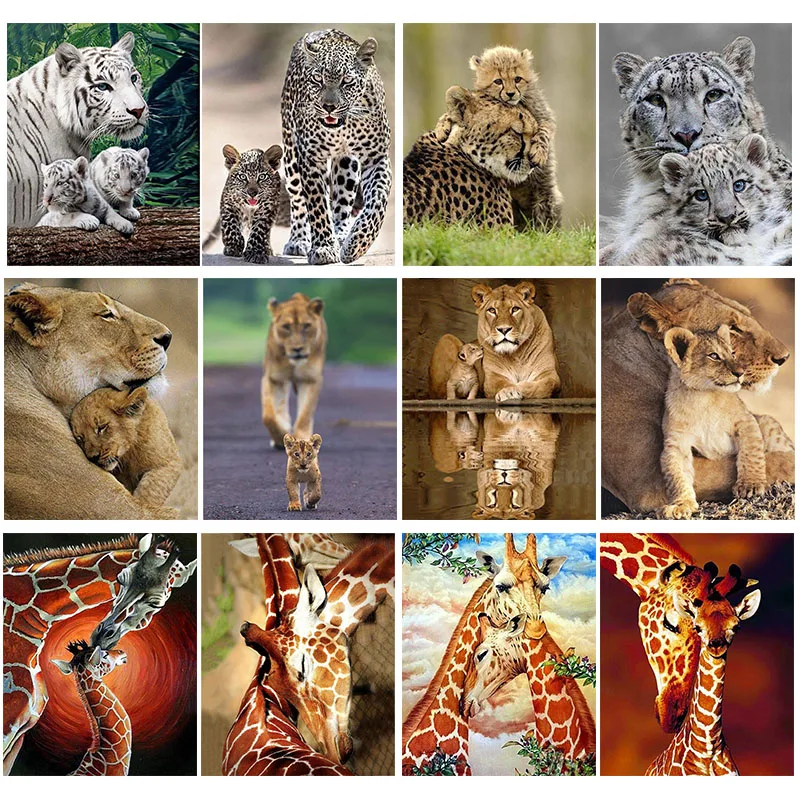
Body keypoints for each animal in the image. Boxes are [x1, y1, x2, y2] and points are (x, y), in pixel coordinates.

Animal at [70, 386, 182, 516]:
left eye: (101, 427)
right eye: (80, 438)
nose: (93, 457)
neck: (128, 454)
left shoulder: (169, 462)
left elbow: (151, 489)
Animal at [261, 293, 327, 448]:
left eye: (306, 325)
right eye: (286, 326)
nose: (297, 349)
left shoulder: (310, 379)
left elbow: (305, 414)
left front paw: (303, 438)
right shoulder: (273, 378)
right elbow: (268, 416)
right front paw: (280, 437)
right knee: (281, 406)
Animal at [430, 281, 560, 403]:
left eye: (515, 309)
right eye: (492, 310)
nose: (504, 329)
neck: (517, 354)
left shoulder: (550, 374)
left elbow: (543, 386)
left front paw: (516, 388)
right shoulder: (492, 378)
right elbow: (501, 384)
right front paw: (509, 392)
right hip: (447, 338)